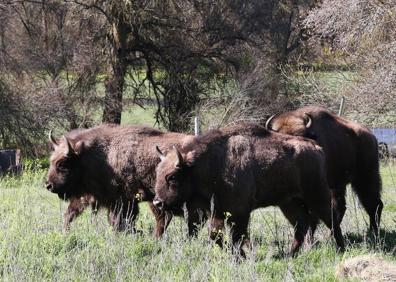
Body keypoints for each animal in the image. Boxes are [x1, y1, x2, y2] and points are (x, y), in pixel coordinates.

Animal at [45, 124, 194, 235]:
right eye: (51, 160)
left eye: (62, 164)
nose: (48, 185)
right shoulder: (91, 197)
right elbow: (70, 213)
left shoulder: (120, 200)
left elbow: (118, 221)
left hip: (156, 199)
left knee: (163, 218)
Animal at [153, 123, 344, 256]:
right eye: (157, 172)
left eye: (172, 176)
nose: (157, 202)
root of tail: (316, 148)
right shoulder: (218, 212)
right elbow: (216, 236)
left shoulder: (239, 212)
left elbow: (237, 237)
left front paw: (241, 256)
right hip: (288, 203)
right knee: (301, 226)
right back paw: (290, 254)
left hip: (317, 197)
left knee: (331, 220)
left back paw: (340, 249)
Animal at [266, 104, 384, 235]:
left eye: (302, 137)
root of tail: (371, 136)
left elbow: (312, 216)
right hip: (339, 184)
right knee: (342, 206)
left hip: (365, 178)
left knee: (374, 204)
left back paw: (373, 232)